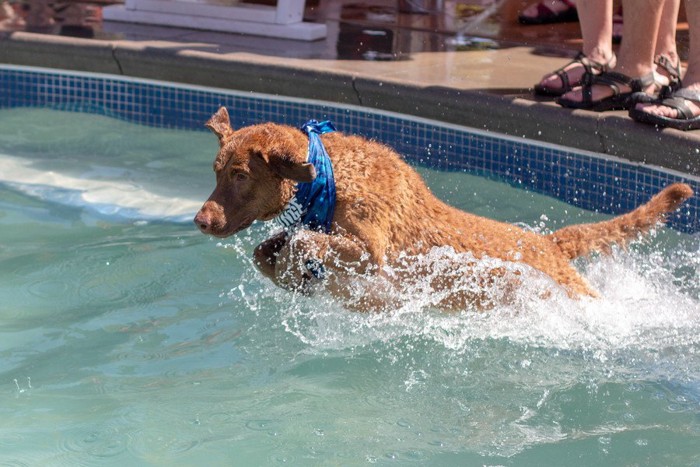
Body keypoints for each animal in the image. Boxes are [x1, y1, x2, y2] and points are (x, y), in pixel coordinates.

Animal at [194, 108, 692, 312]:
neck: (327, 176)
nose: (200, 220)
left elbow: (302, 241)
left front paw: (294, 265)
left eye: (240, 175)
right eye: (216, 171)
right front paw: (289, 275)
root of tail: (549, 244)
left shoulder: (372, 253)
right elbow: (268, 249)